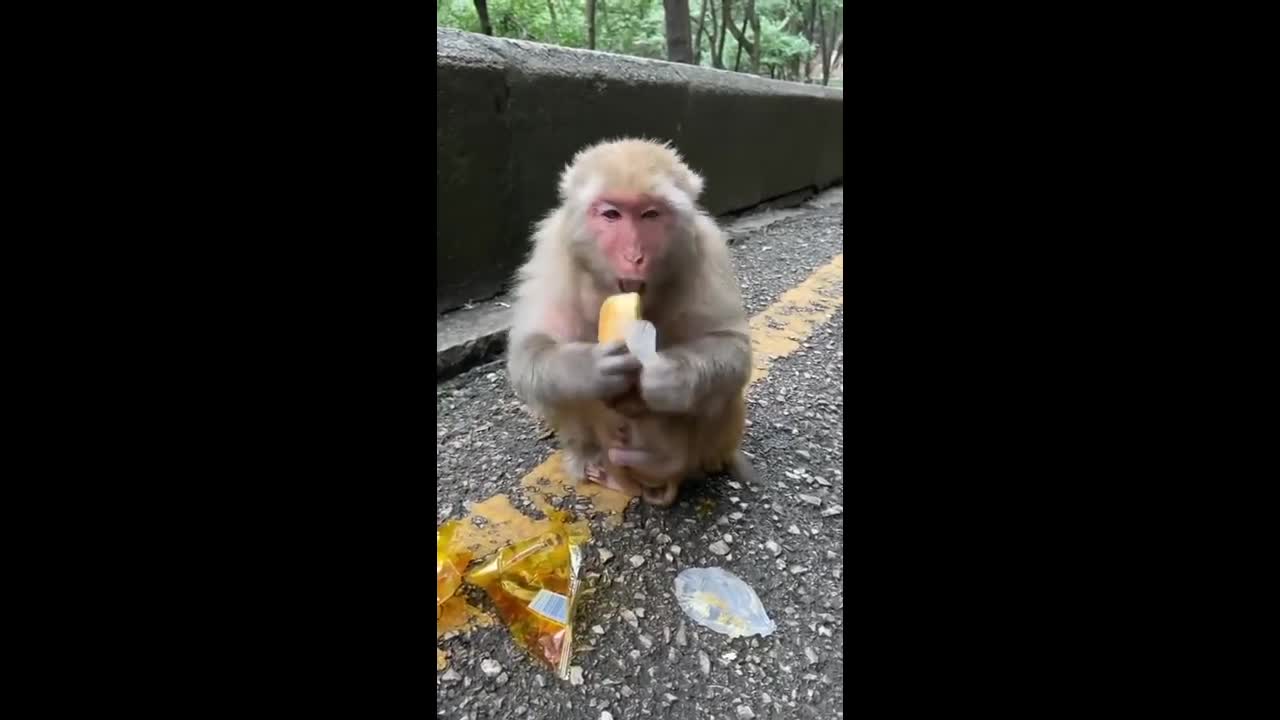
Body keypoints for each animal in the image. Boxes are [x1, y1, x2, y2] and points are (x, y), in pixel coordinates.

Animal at [504, 135, 752, 504]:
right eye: (612, 214)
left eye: (650, 214)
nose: (634, 256)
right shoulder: (552, 250)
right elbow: (529, 349)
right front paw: (594, 368)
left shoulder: (707, 249)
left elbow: (732, 346)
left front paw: (669, 376)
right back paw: (591, 459)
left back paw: (674, 460)